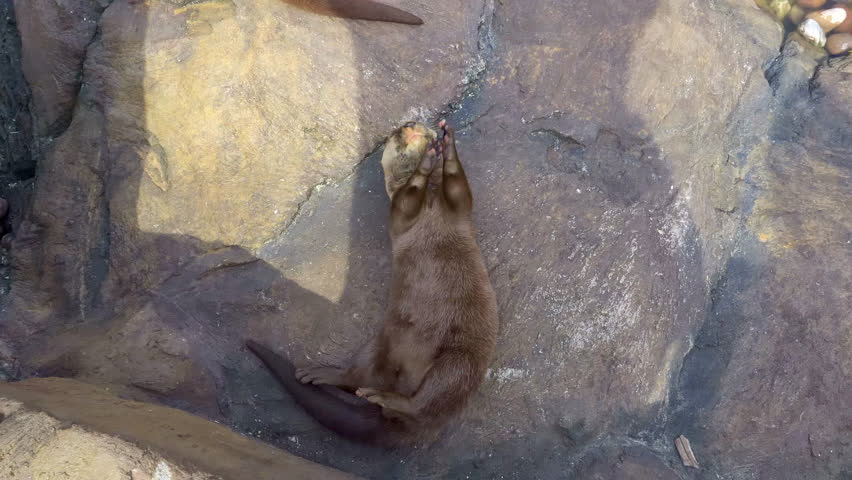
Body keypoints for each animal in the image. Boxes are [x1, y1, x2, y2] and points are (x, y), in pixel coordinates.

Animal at [247, 120, 498, 446]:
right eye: (396, 132)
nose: (411, 126)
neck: (432, 205)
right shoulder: (399, 213)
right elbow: (410, 195)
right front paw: (427, 162)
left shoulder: (458, 209)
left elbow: (457, 184)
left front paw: (446, 143)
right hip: (380, 347)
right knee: (362, 380)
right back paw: (328, 377)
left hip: (460, 358)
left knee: (429, 395)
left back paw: (379, 396)